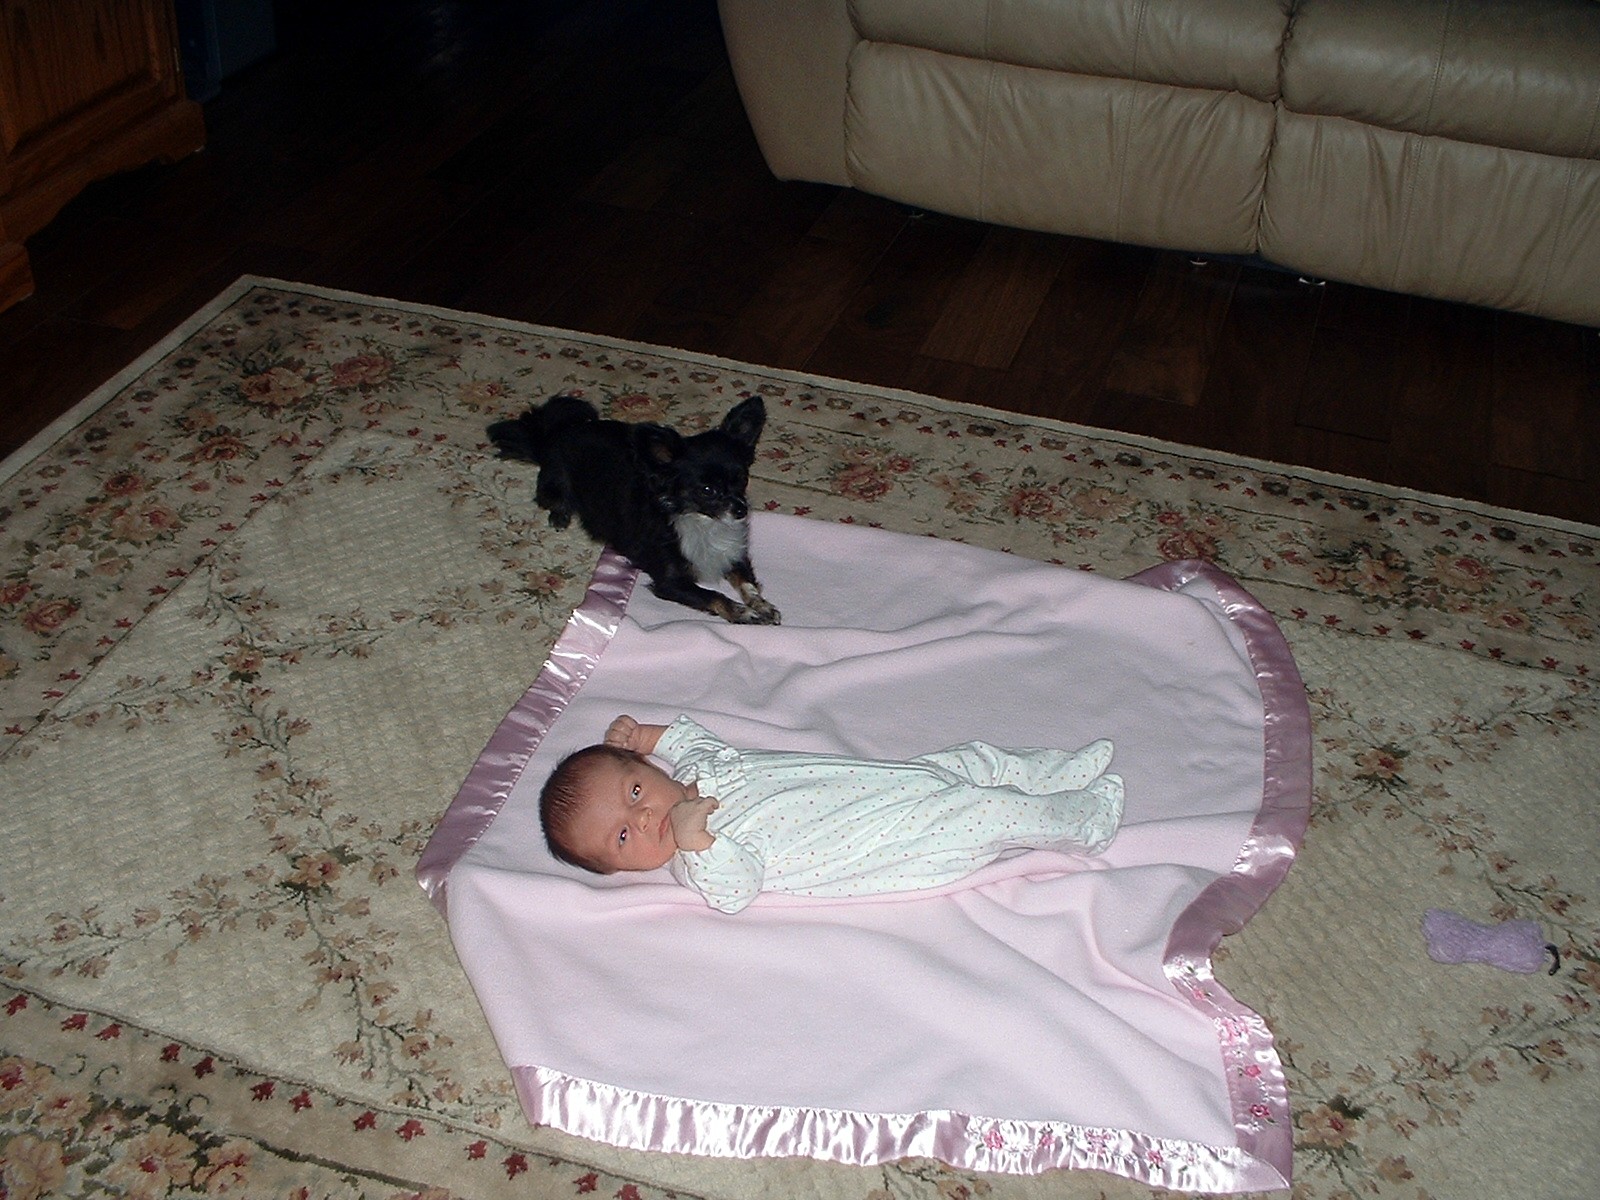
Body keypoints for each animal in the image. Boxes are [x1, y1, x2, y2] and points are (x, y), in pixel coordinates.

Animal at [487, 394, 780, 625]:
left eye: (742, 479)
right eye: (707, 490)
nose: (741, 510)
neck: (702, 521)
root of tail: (553, 435)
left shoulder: (733, 555)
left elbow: (747, 583)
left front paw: (761, 605)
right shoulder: (670, 582)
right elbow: (713, 596)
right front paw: (742, 613)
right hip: (553, 487)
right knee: (552, 499)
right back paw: (560, 514)